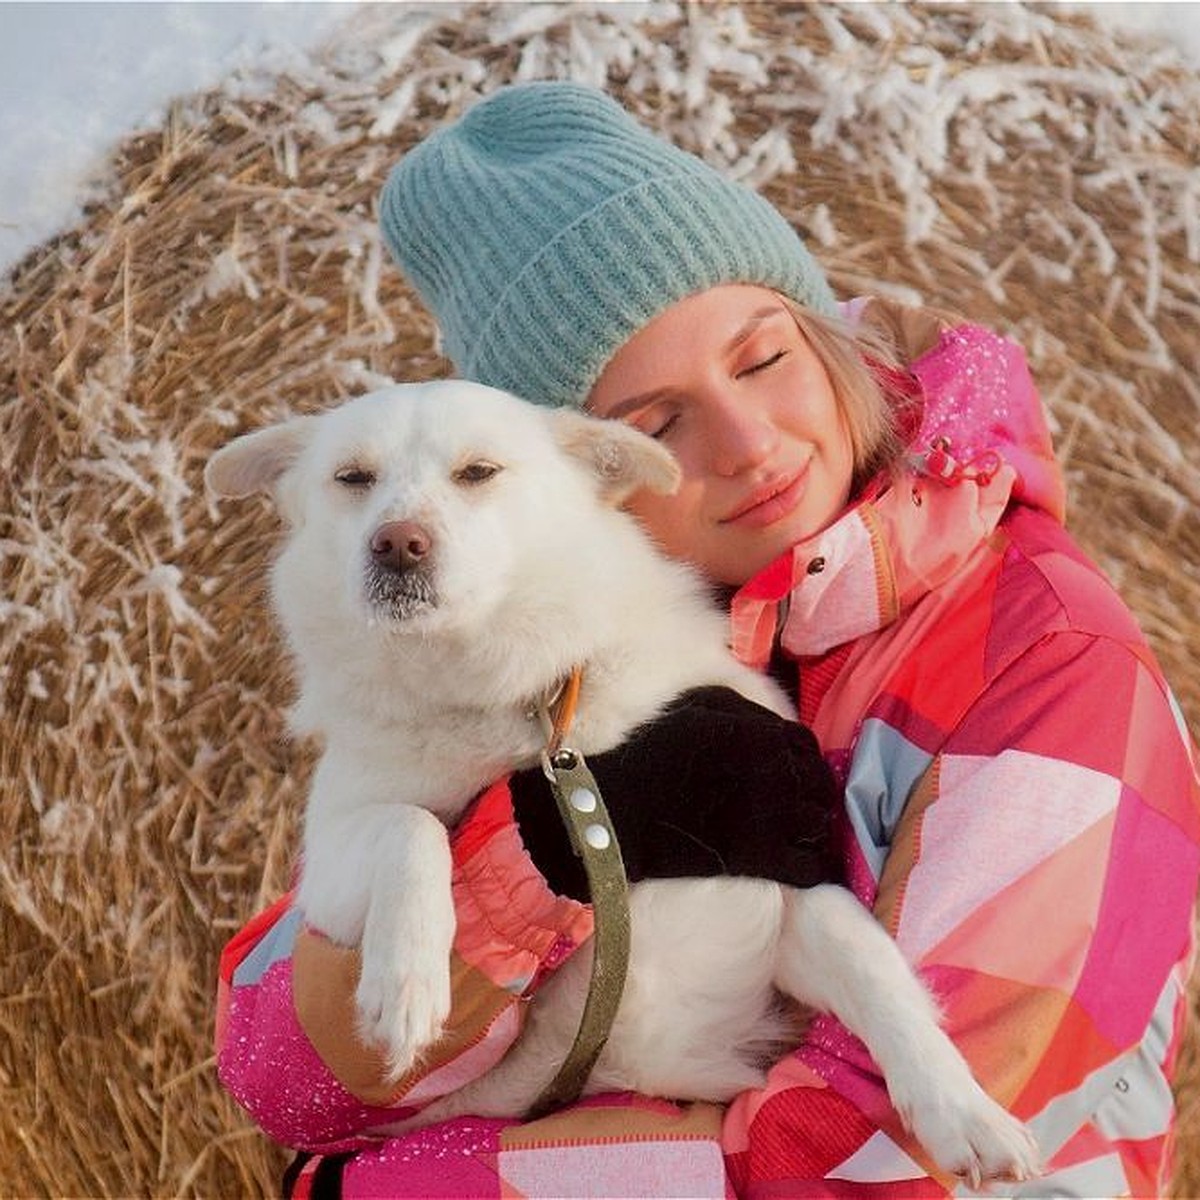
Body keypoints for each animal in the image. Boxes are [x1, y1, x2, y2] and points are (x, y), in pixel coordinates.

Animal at [206, 379, 1041, 1185]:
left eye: (478, 471)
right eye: (353, 478)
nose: (397, 544)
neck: (522, 705)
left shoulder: (789, 888)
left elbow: (882, 980)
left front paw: (961, 1109)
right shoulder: (331, 878)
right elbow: (411, 828)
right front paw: (406, 978)